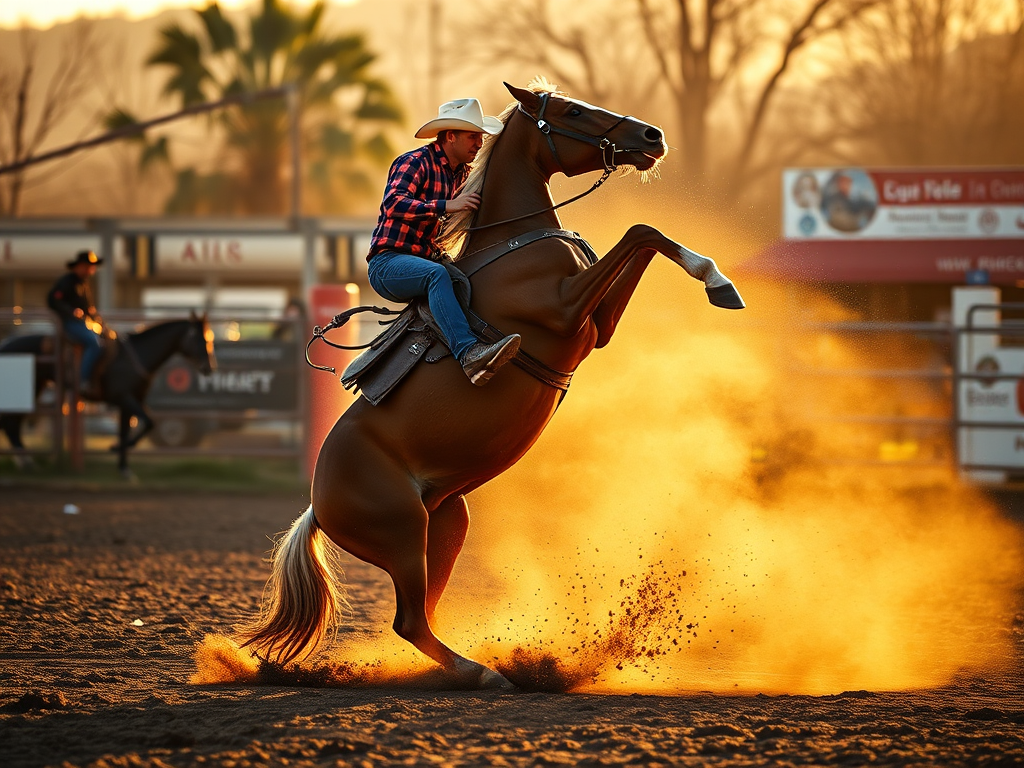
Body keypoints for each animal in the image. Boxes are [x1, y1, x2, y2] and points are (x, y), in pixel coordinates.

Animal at [0, 313, 215, 475]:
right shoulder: (125, 398)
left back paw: (26, 461)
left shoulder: (130, 402)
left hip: (35, 388)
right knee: (12, 424)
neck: (137, 356)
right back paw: (26, 461)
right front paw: (116, 448)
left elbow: (127, 429)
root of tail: (5, 344)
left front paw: (124, 468)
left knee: (13, 424)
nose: (209, 367)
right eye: (199, 338)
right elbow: (148, 422)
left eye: (210, 338)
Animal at [239, 82, 744, 687]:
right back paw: (485, 673)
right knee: (410, 621)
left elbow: (646, 238)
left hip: (445, 524)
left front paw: (719, 282)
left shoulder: (596, 327)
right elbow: (638, 232)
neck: (515, 241)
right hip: (402, 532)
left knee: (423, 617)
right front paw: (717, 279)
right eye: (570, 109)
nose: (652, 136)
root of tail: (317, 503)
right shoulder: (565, 309)